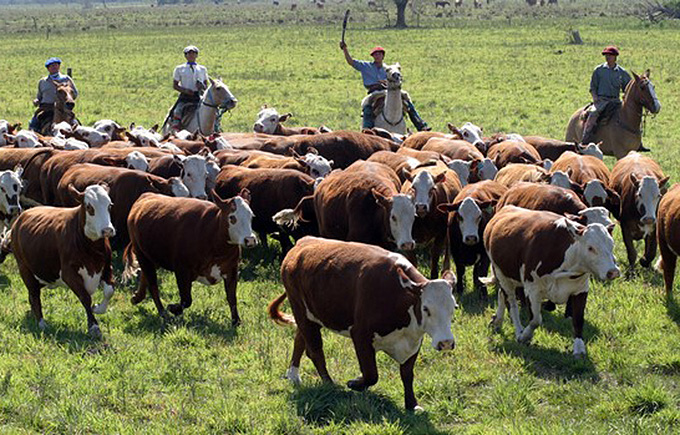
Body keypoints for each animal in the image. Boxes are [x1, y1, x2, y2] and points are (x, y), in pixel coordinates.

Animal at [10, 186, 115, 338]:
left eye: (110, 205)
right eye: (89, 207)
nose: (107, 230)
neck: (92, 249)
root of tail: (23, 215)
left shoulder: (106, 266)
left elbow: (109, 291)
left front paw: (97, 308)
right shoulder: (68, 273)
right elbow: (85, 297)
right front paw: (94, 326)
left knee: (32, 294)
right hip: (24, 267)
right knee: (34, 295)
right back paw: (41, 323)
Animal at [123, 192, 256, 326]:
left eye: (251, 216)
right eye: (232, 218)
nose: (250, 240)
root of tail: (146, 195)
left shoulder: (232, 270)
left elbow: (232, 297)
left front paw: (236, 321)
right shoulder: (182, 270)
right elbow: (187, 299)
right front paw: (173, 309)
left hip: (152, 256)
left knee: (145, 275)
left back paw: (137, 298)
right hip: (141, 253)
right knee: (153, 285)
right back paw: (163, 312)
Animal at [266, 238, 456, 412]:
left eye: (454, 307)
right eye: (426, 308)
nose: (446, 342)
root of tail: (302, 243)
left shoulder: (414, 340)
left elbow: (407, 374)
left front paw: (412, 404)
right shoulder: (361, 335)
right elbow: (371, 374)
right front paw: (354, 383)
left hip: (310, 315)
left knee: (300, 340)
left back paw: (293, 375)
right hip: (300, 309)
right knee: (315, 351)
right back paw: (329, 383)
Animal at [484, 208, 620, 358]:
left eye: (612, 245)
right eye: (591, 248)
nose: (613, 271)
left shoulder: (581, 289)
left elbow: (578, 320)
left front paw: (579, 348)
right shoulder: (532, 289)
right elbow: (536, 320)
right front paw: (525, 336)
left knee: (502, 295)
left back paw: (497, 320)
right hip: (501, 274)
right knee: (511, 303)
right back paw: (518, 330)